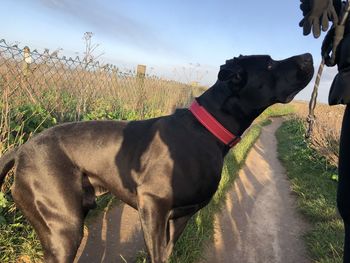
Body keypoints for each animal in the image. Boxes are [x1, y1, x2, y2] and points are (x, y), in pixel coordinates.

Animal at [0, 53, 314, 262]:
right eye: (270, 64)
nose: (309, 56)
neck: (206, 130)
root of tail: (20, 151)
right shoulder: (153, 206)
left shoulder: (182, 216)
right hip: (63, 227)